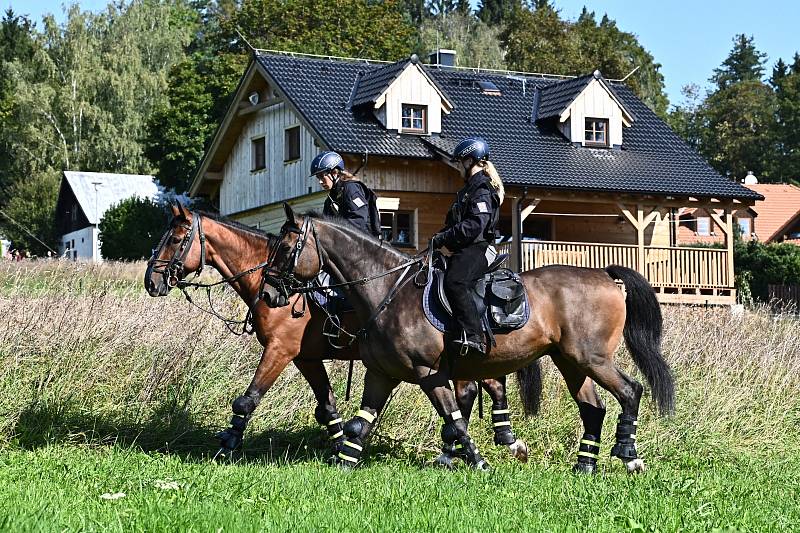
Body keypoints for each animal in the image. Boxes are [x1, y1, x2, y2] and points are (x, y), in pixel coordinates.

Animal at [144, 204, 532, 462]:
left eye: (176, 238)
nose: (151, 281)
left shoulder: (280, 350)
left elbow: (248, 399)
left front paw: (227, 446)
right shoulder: (306, 358)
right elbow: (327, 407)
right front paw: (340, 446)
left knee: (474, 390)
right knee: (490, 386)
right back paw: (499, 441)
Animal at [268, 206, 676, 472]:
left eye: (286, 249)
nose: (271, 295)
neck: (387, 289)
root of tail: (605, 275)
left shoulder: (428, 372)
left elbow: (455, 420)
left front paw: (476, 461)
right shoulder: (381, 374)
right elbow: (360, 421)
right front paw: (344, 462)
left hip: (592, 358)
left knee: (630, 391)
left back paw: (628, 455)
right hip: (570, 361)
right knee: (593, 408)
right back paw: (584, 466)